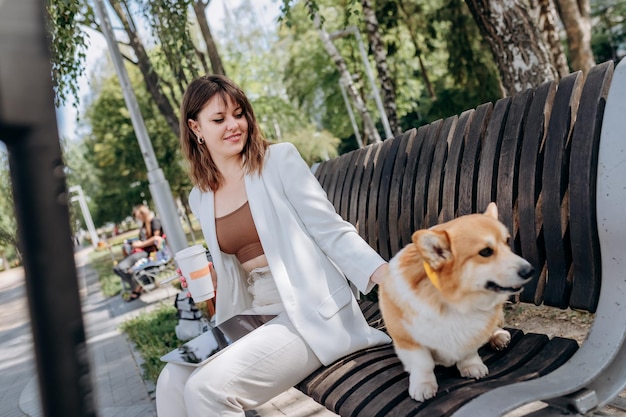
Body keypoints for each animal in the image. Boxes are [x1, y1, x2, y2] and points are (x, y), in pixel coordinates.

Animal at [376, 203, 532, 402]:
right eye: (486, 252)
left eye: (507, 242)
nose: (530, 270)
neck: (456, 302)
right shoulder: (407, 339)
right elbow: (423, 363)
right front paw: (423, 385)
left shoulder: (473, 333)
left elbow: (469, 352)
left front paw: (471, 366)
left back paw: (498, 336)